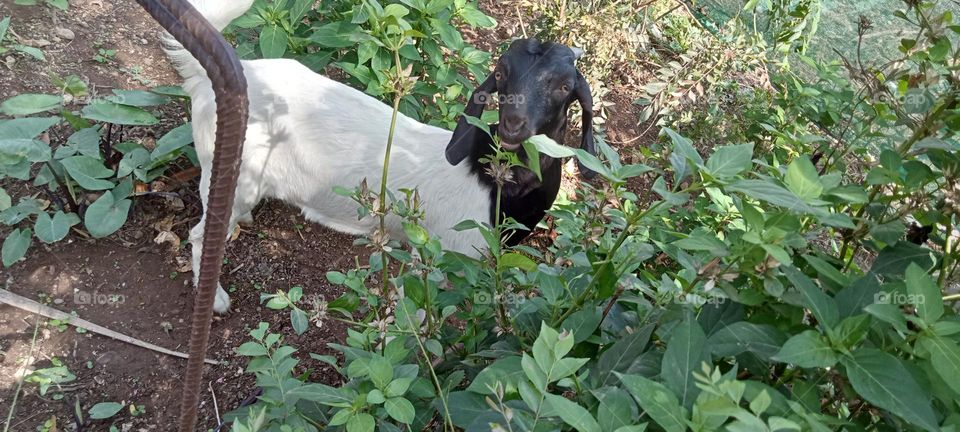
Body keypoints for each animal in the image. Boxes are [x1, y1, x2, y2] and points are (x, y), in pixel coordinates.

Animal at [162, 0, 596, 312]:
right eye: (502, 74)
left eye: (564, 86)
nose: (512, 126)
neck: (491, 184)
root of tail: (214, 78)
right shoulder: (442, 257)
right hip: (238, 175)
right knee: (200, 233)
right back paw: (216, 300)